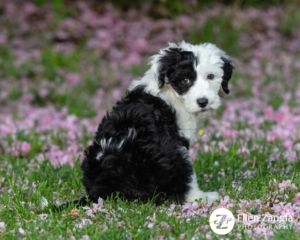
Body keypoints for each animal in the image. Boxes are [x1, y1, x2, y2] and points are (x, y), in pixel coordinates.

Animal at [81, 40, 234, 204]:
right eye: (185, 80)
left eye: (210, 76)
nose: (203, 102)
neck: (172, 93)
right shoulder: (178, 142)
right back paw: (201, 197)